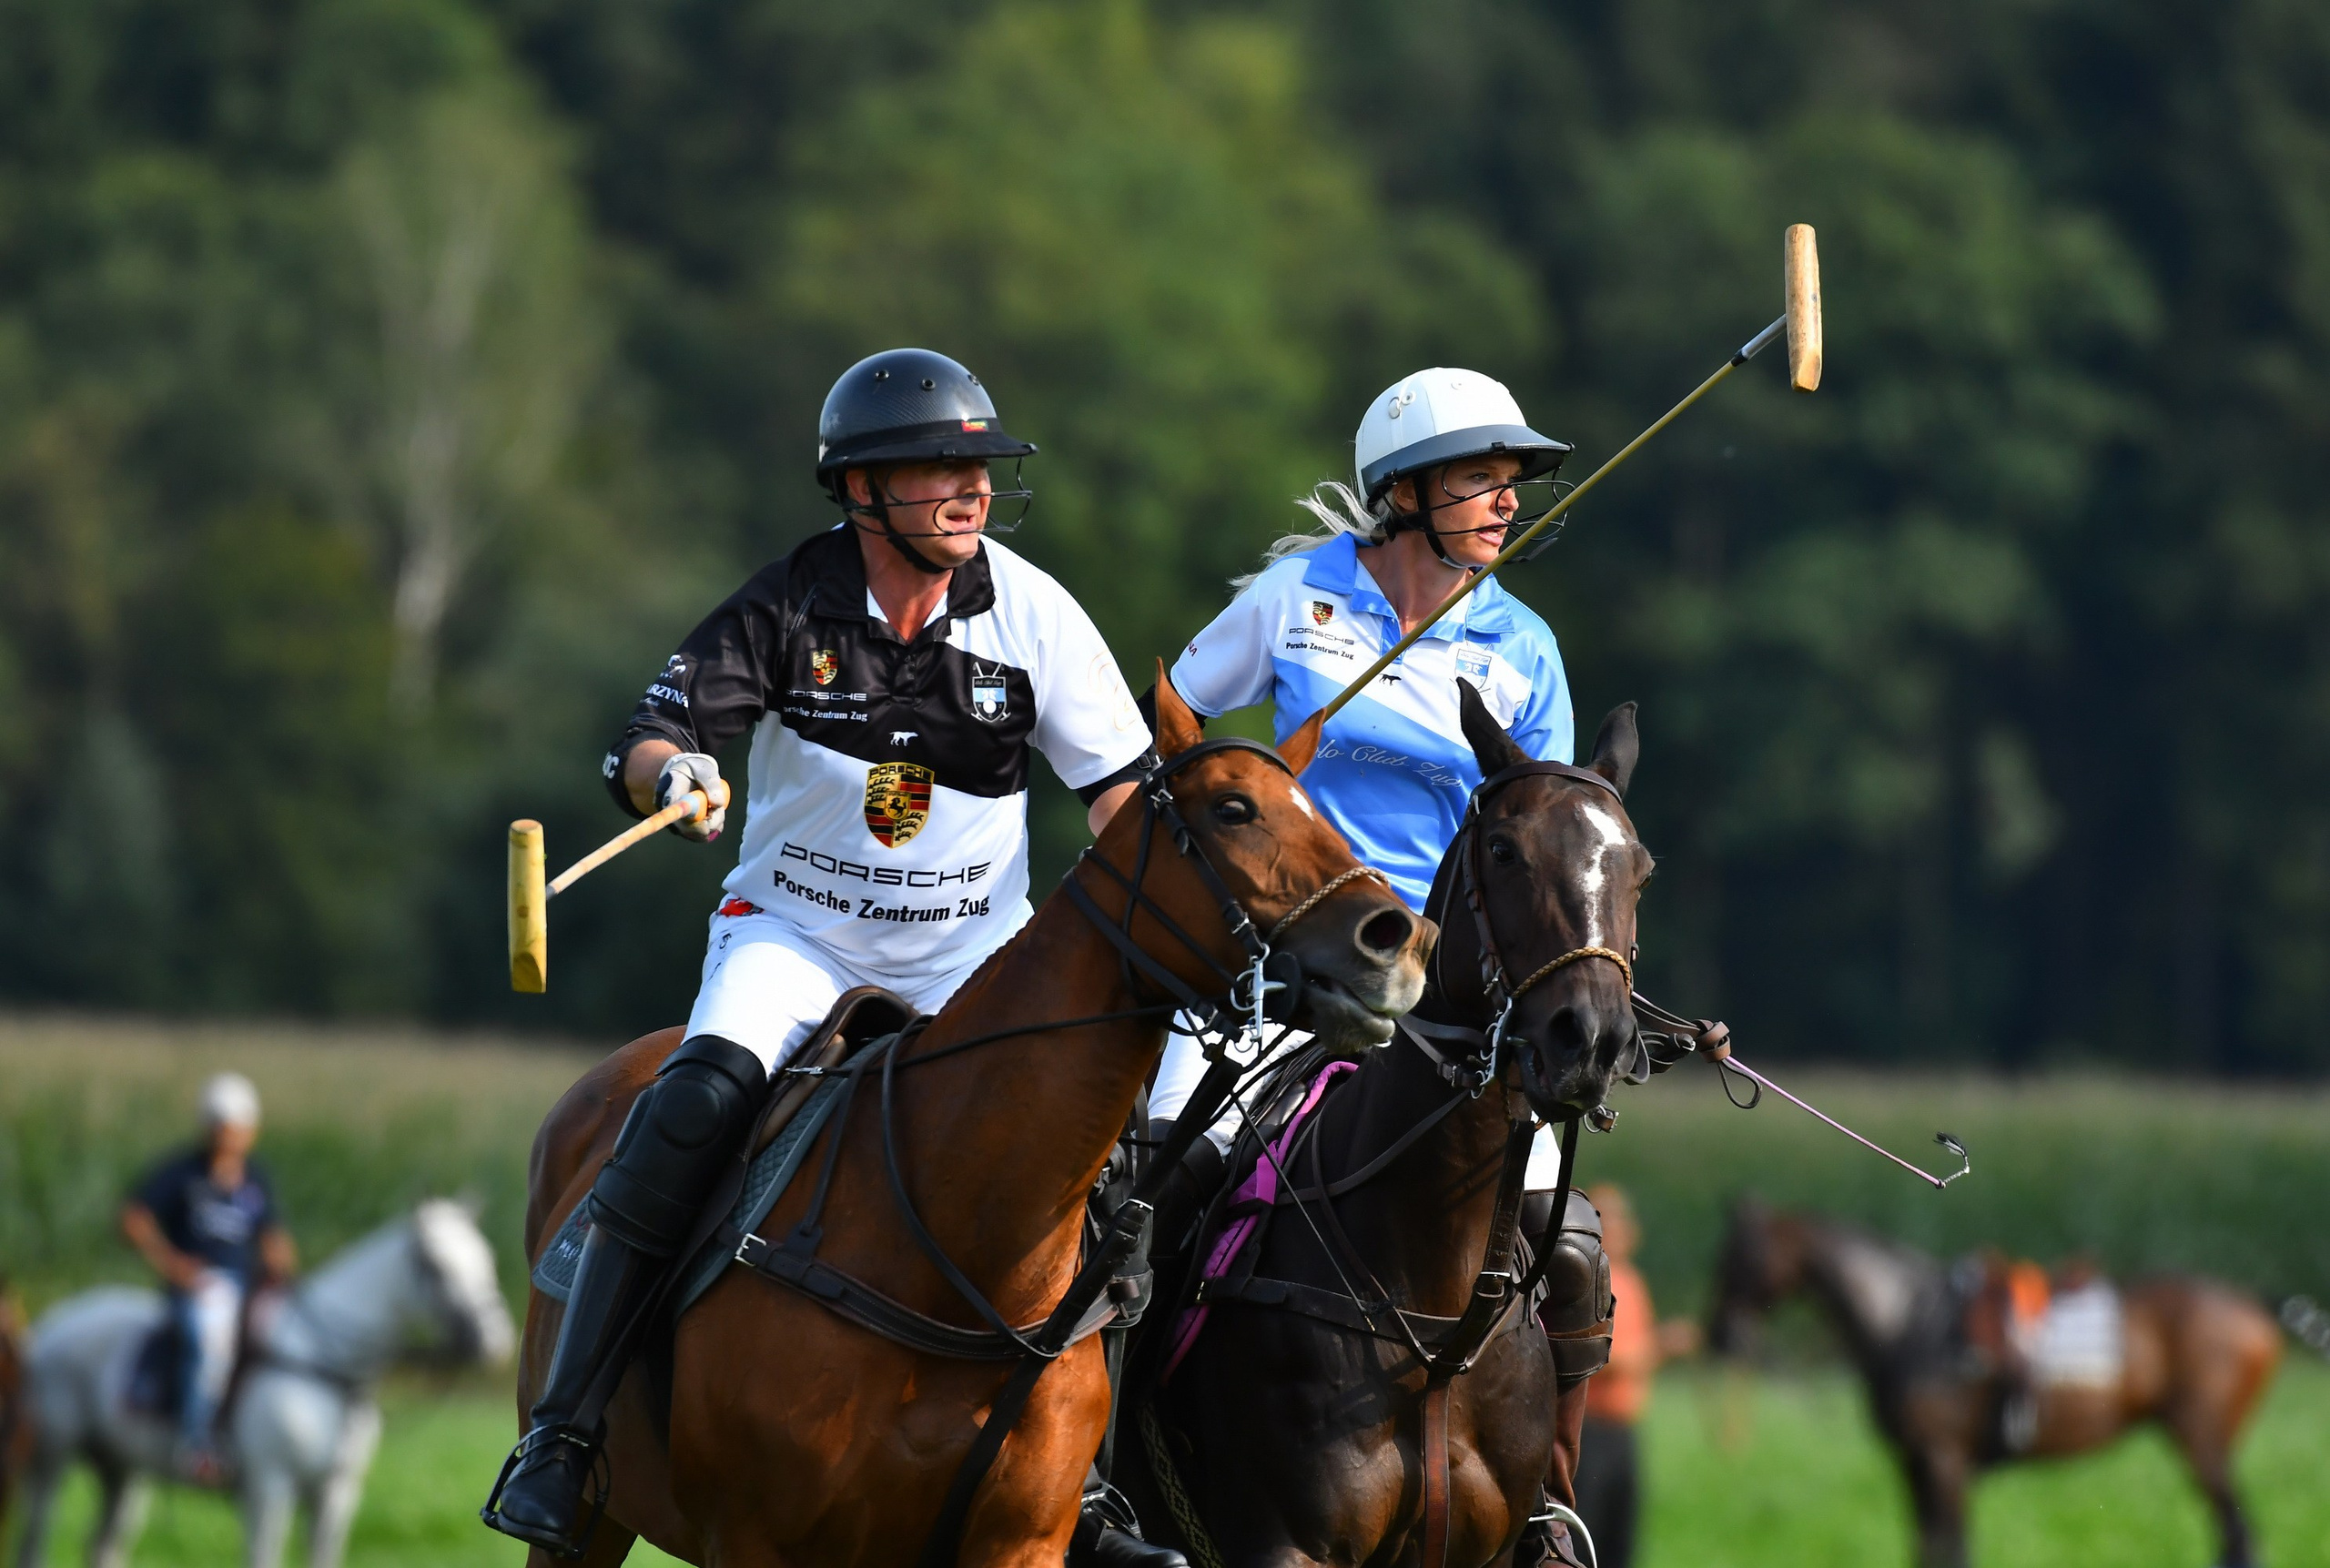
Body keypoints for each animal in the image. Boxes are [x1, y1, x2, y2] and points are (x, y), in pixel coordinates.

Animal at [11, 1198, 514, 1568]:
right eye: (436, 1265)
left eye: (486, 1258)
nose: (495, 1341)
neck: (321, 1364)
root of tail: (51, 1325)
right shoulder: (269, 1488)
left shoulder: (337, 1494)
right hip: (50, 1460)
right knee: (34, 1539)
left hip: (123, 1472)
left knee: (104, 1545)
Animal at [514, 673, 1431, 1568]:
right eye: (1232, 808)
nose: (1397, 940)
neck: (959, 1240)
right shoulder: (752, 1536)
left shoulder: (1021, 1540)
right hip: (594, 1514)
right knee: (697, 1103)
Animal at [1119, 687, 1653, 1568]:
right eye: (1503, 849)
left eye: (1640, 867)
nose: (1593, 1040)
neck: (1439, 1324)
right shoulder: (1287, 1544)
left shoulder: (1482, 1549)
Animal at [1707, 1199, 2284, 1568]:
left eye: (1744, 1257)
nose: (1719, 1336)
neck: (1908, 1323)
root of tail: (2254, 1306)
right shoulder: (1914, 1465)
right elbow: (1927, 1551)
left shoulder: (1943, 1461)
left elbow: (1951, 1552)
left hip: (2202, 1442)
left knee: (2239, 1538)